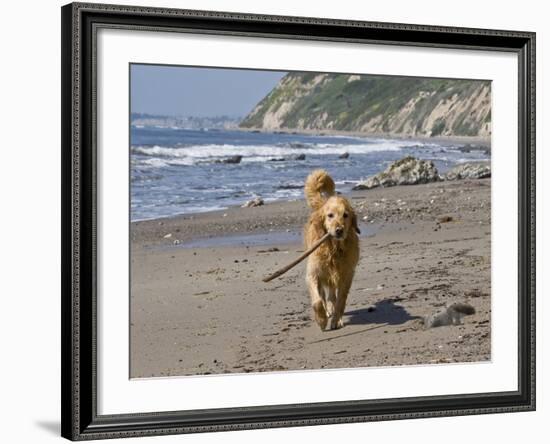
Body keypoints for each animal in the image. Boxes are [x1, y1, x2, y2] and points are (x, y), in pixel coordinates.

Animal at [302, 170, 362, 330]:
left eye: (345, 215)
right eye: (330, 215)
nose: (339, 230)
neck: (334, 249)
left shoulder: (346, 275)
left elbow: (340, 300)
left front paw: (336, 319)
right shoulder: (313, 274)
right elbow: (317, 301)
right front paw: (322, 320)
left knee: (332, 296)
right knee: (324, 295)